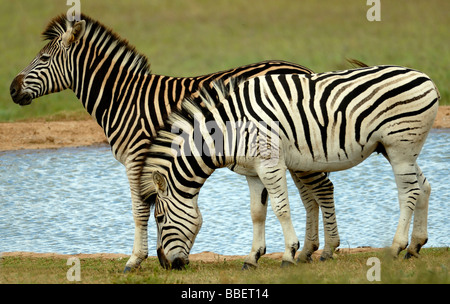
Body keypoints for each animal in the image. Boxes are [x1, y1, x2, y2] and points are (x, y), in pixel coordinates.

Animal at [7, 13, 334, 270]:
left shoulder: (136, 158)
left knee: (321, 188)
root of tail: (303, 69)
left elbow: (141, 209)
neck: (123, 99)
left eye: (43, 59)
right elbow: (157, 205)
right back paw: (308, 251)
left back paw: (324, 251)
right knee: (311, 194)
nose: (11, 89)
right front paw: (165, 257)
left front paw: (136, 260)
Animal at [142, 64, 442, 268]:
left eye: (159, 218)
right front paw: (253, 257)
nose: (167, 266)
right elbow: (257, 213)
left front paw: (289, 253)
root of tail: (426, 78)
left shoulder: (269, 163)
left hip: (400, 147)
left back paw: (396, 247)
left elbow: (280, 208)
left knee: (408, 193)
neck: (229, 131)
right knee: (424, 187)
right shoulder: (252, 173)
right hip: (398, 149)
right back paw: (415, 246)